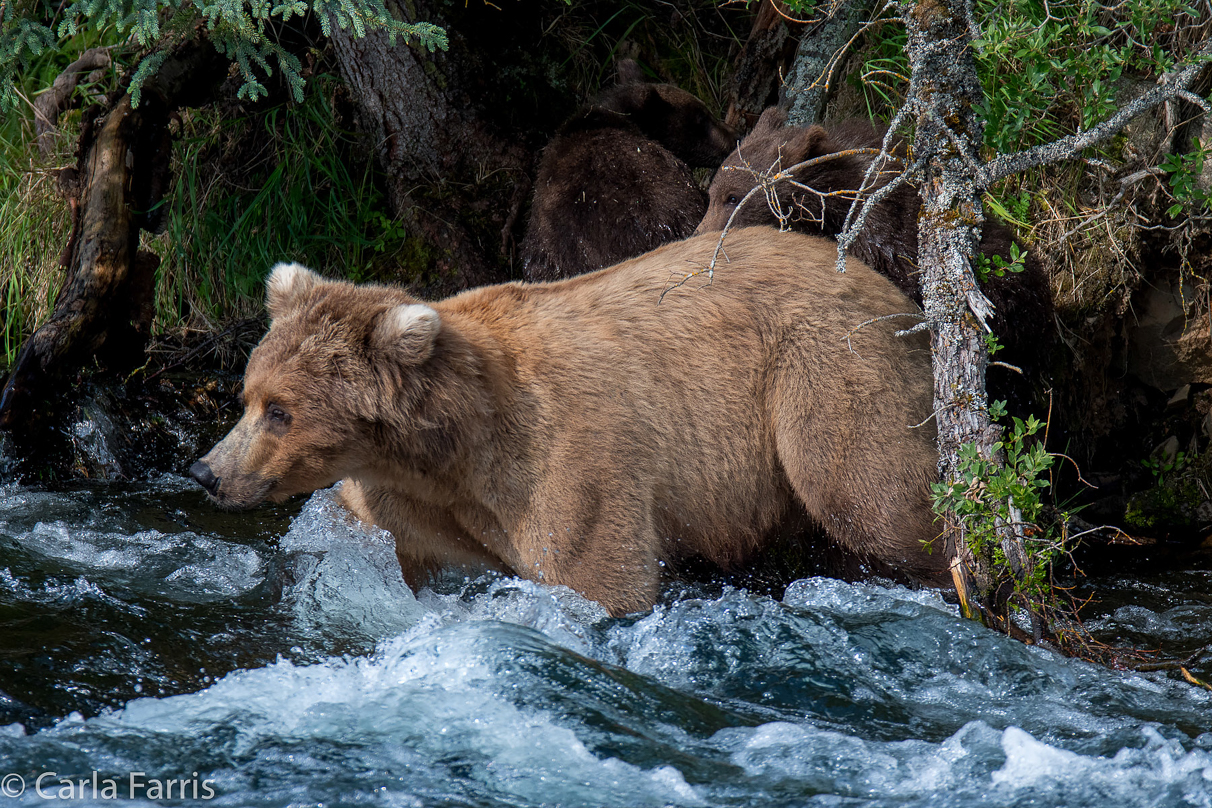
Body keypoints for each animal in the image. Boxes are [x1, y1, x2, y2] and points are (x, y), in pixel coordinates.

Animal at [189, 230, 945, 615]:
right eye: (246, 396)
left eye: (281, 411)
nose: (206, 472)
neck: (451, 449)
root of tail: (893, 287)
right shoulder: (409, 502)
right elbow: (377, 546)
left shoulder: (565, 463)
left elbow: (595, 578)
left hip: (826, 372)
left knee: (872, 499)